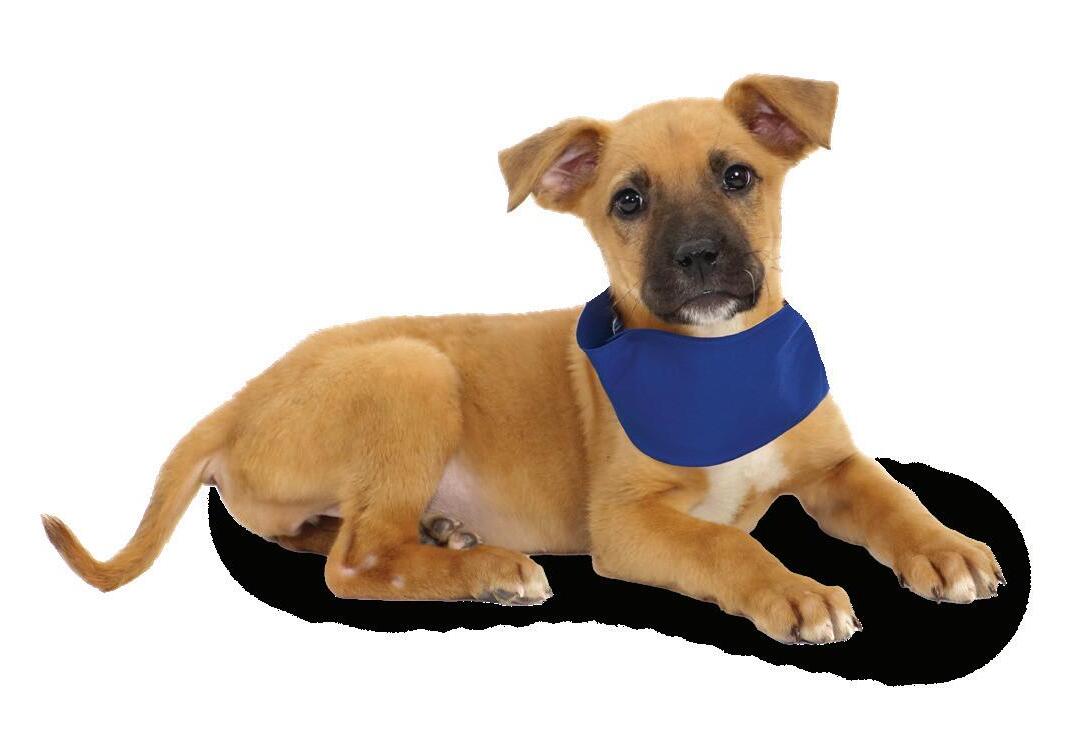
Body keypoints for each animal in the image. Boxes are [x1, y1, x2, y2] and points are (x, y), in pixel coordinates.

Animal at [43, 74, 1003, 644]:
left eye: (737, 176)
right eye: (627, 201)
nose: (696, 258)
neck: (714, 355)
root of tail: (236, 400)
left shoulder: (831, 463)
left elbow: (891, 495)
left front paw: (946, 549)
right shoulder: (628, 522)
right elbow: (726, 544)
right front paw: (793, 590)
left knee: (335, 537)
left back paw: (441, 533)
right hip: (412, 371)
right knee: (354, 562)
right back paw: (489, 569)